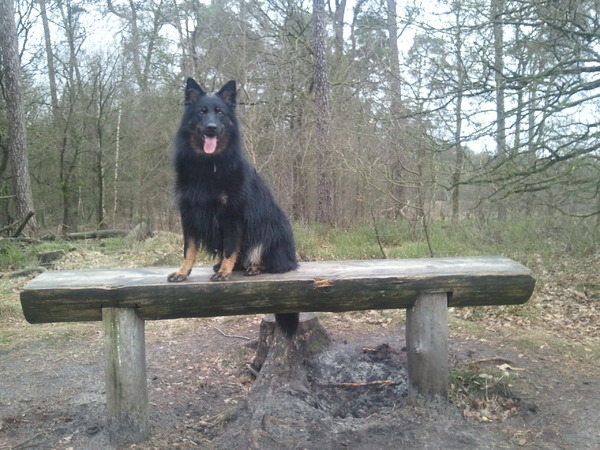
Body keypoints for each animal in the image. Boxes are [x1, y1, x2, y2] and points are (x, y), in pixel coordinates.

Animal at [169, 78, 300, 338]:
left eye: (220, 113)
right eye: (202, 112)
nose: (211, 128)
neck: (207, 165)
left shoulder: (232, 216)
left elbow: (230, 247)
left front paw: (224, 272)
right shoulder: (188, 214)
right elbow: (189, 249)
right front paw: (183, 272)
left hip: (270, 232)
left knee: (275, 263)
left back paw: (254, 267)